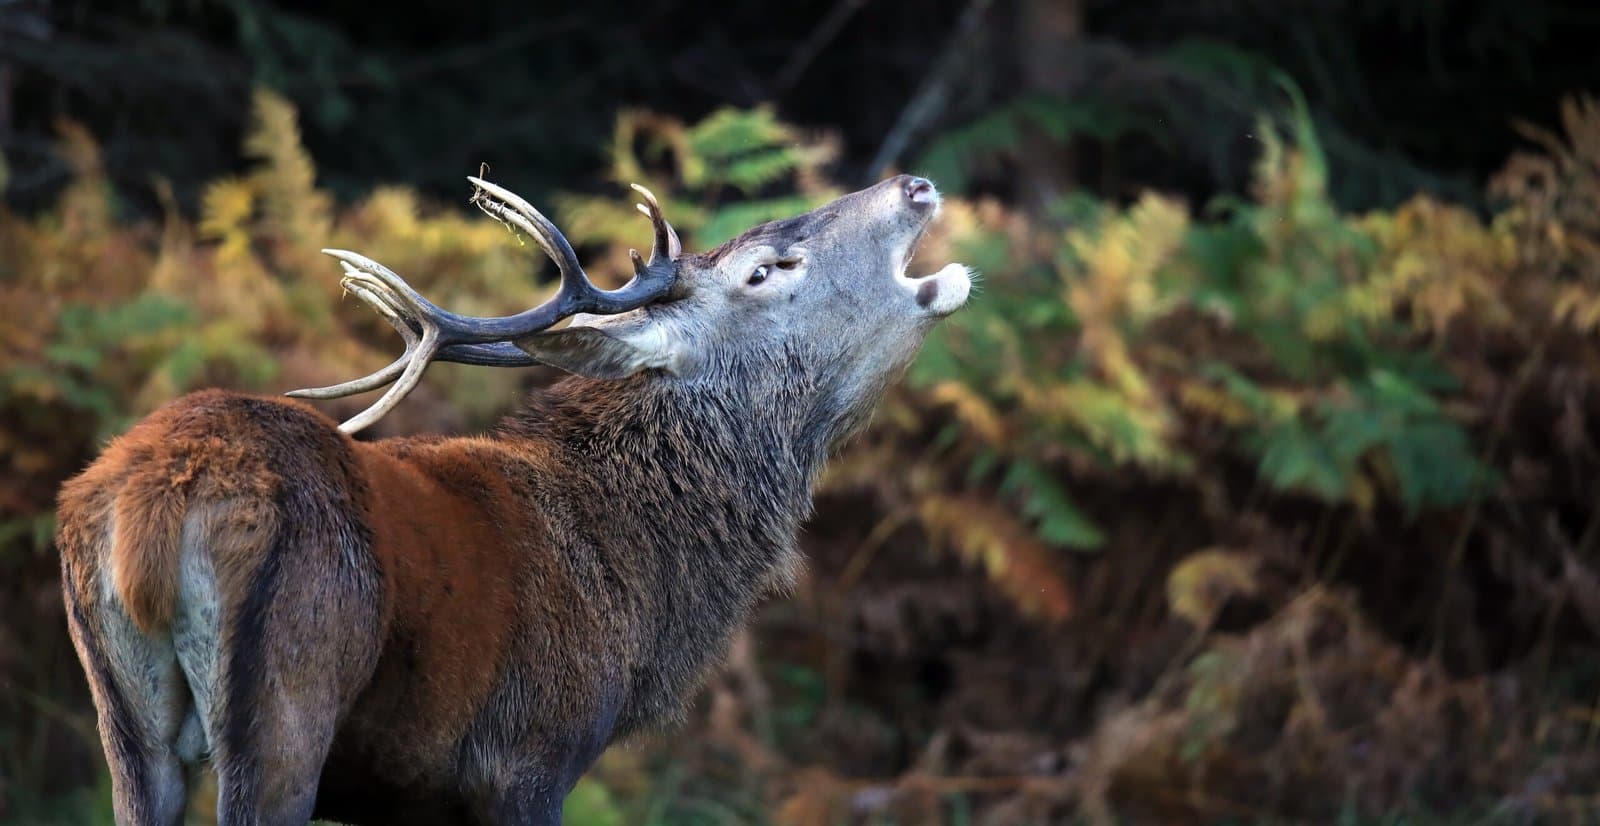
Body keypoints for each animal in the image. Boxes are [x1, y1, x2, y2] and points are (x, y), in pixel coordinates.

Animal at [56, 172, 970, 825]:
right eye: (766, 270)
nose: (915, 185)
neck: (645, 586)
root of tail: (147, 509)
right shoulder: (531, 755)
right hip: (288, 695)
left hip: (124, 727)